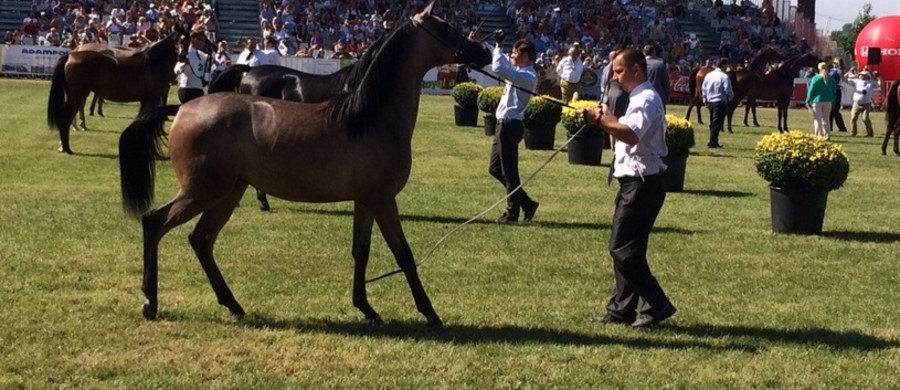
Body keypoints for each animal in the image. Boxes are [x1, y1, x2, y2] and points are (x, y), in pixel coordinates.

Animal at [47, 32, 178, 154]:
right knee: (69, 115)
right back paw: (68, 143)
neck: (153, 63)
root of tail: (71, 55)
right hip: (78, 94)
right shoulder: (153, 97)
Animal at [118, 2, 492, 326]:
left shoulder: (366, 201)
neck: (369, 118)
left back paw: (233, 304)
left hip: (227, 192)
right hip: (202, 190)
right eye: (446, 28)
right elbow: (404, 255)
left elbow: (361, 251)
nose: (485, 52)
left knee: (201, 239)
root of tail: (182, 109)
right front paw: (430, 313)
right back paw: (151, 302)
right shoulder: (384, 200)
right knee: (155, 223)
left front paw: (366, 308)